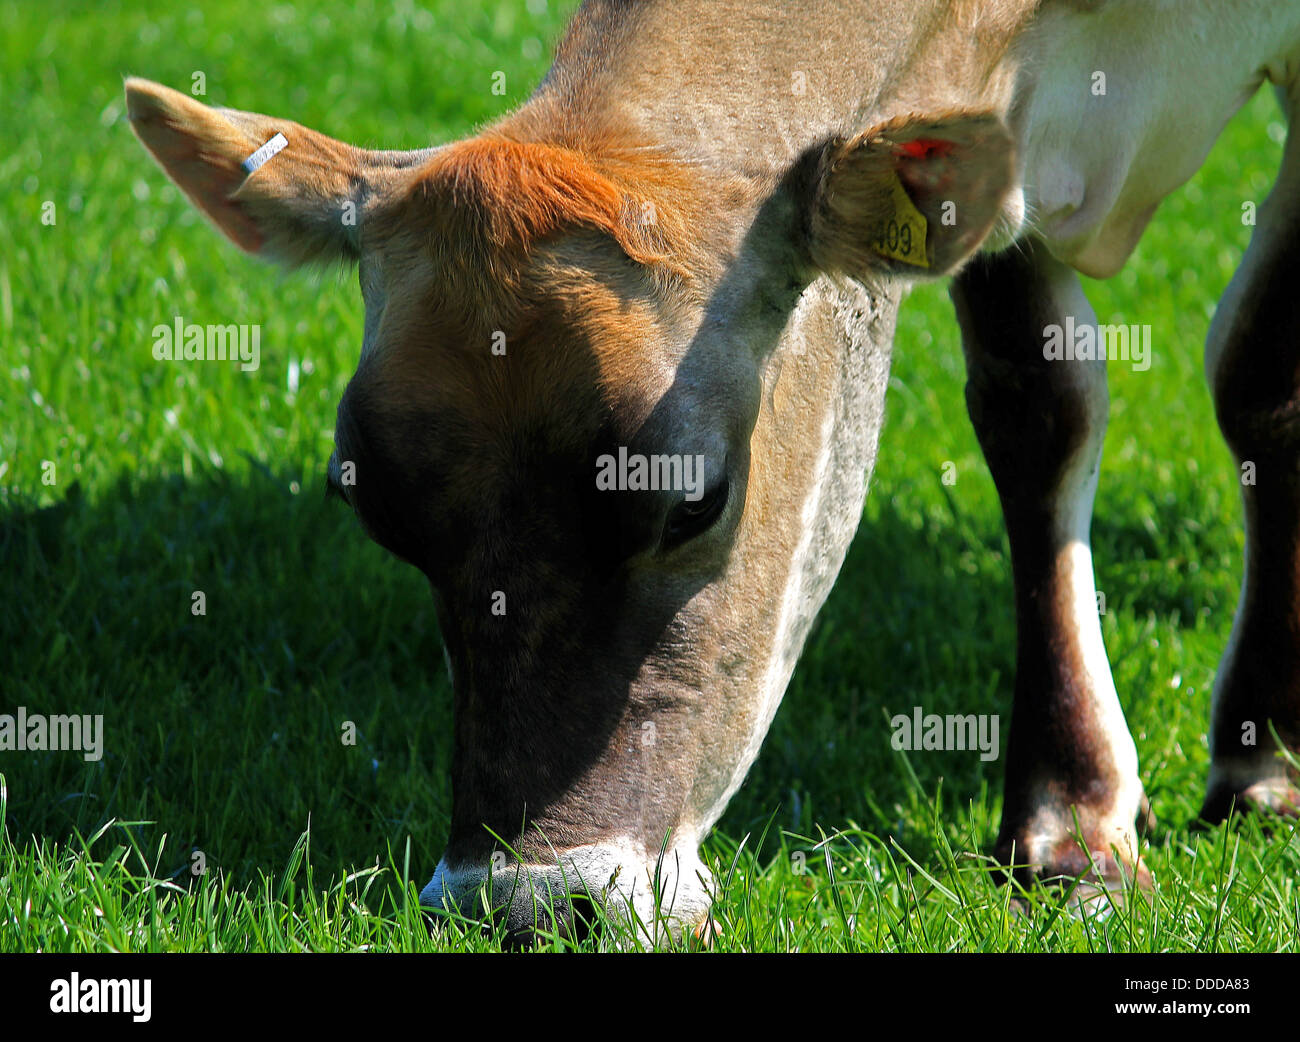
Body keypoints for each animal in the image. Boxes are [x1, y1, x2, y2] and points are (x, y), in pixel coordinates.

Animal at [125, 0, 1300, 943]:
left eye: (694, 497)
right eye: (374, 506)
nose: (531, 906)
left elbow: (1256, 372)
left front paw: (1246, 763)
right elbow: (1034, 401)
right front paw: (1074, 813)